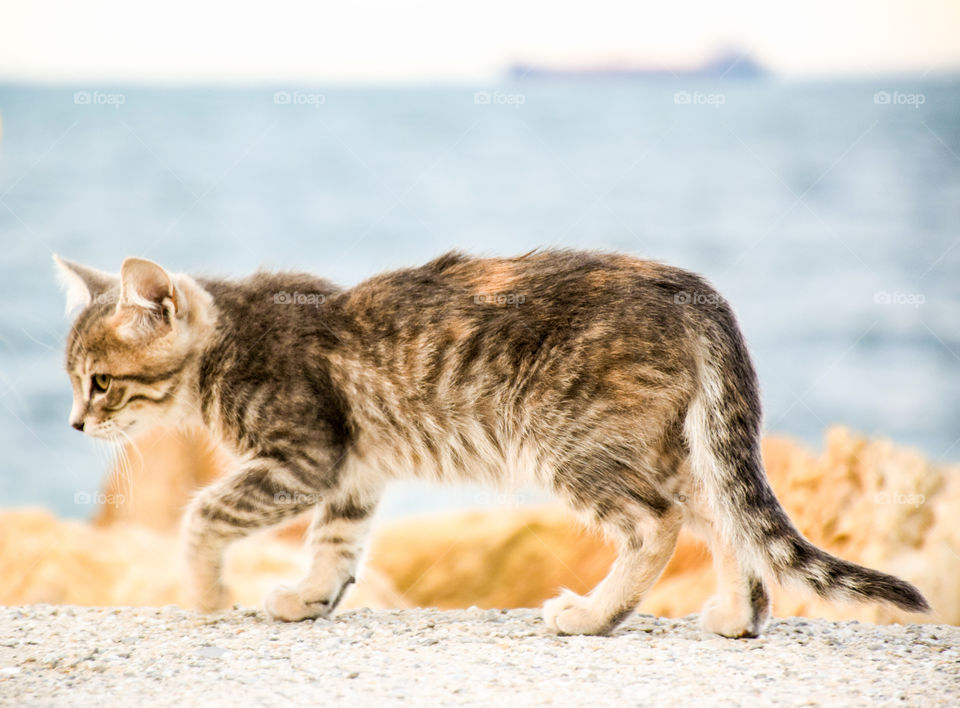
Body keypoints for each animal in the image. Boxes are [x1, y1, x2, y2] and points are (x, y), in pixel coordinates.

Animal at [56, 249, 928, 636]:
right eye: (73, 381)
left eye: (100, 382)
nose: (74, 424)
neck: (230, 336)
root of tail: (689, 288)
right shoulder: (353, 474)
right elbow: (336, 547)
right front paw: (309, 598)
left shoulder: (304, 458)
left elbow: (202, 514)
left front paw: (206, 594)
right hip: (669, 445)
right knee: (727, 517)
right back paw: (738, 614)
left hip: (568, 439)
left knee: (659, 524)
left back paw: (594, 616)